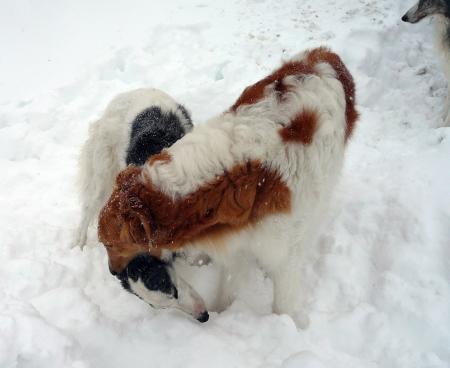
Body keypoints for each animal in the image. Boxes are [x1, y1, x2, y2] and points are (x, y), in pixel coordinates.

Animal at [99, 47, 358, 324]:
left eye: (110, 244)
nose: (113, 272)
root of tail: (326, 55)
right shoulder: (238, 244)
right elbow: (228, 288)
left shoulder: (284, 257)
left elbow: (283, 306)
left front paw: (288, 327)